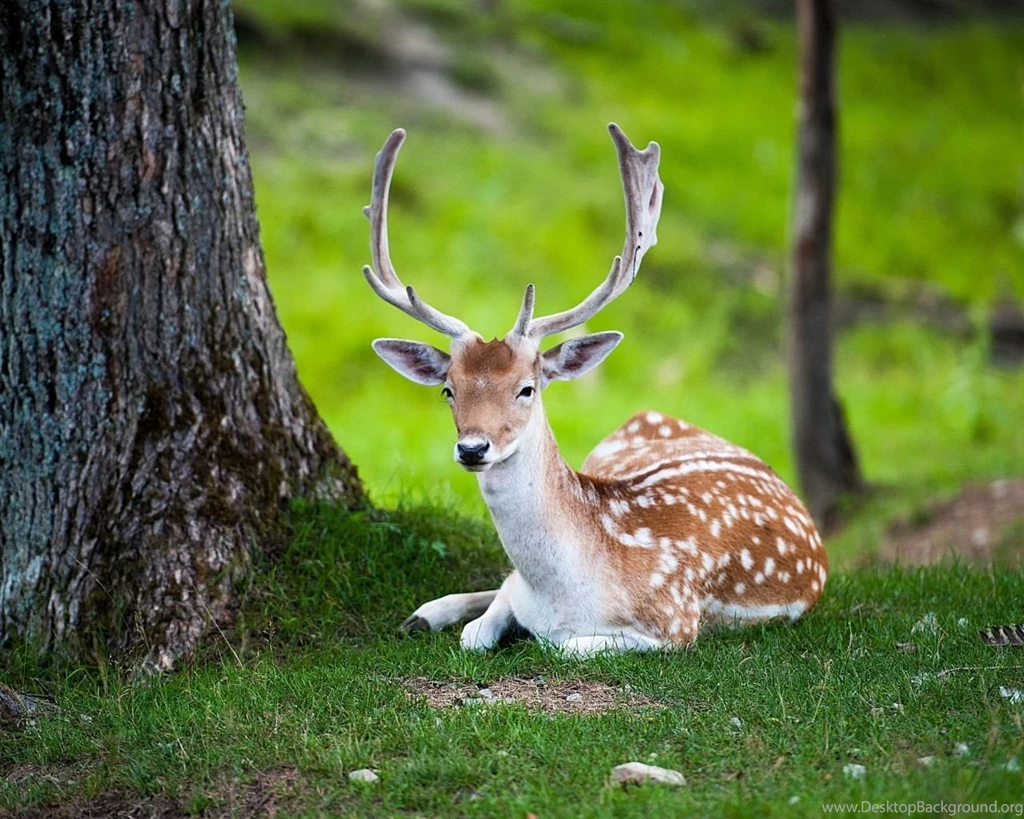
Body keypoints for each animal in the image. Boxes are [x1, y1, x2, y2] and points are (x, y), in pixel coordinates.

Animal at [362, 124, 827, 657]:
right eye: (449, 390)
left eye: (527, 389)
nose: (473, 448)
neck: (563, 592)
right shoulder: (519, 591)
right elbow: (479, 629)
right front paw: (445, 617)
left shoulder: (675, 623)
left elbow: (559, 645)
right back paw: (424, 613)